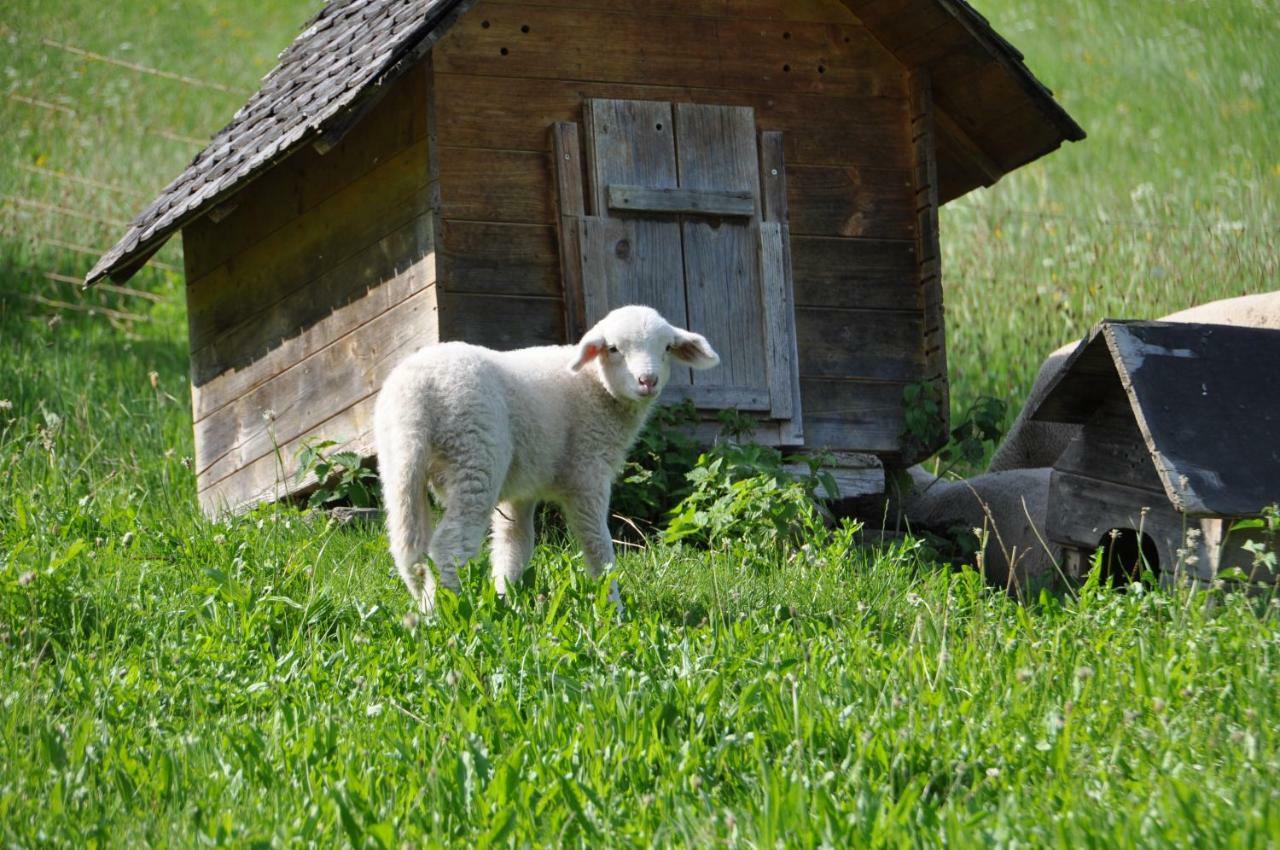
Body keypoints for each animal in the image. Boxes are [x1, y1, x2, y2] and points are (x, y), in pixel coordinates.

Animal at [373, 305, 727, 611]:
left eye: (666, 347)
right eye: (613, 348)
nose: (647, 381)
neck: (596, 386)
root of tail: (418, 390)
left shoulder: (521, 489)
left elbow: (515, 544)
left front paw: (506, 599)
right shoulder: (587, 473)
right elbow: (598, 545)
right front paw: (613, 608)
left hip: (398, 462)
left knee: (407, 546)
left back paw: (425, 605)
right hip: (475, 455)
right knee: (450, 544)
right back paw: (449, 611)